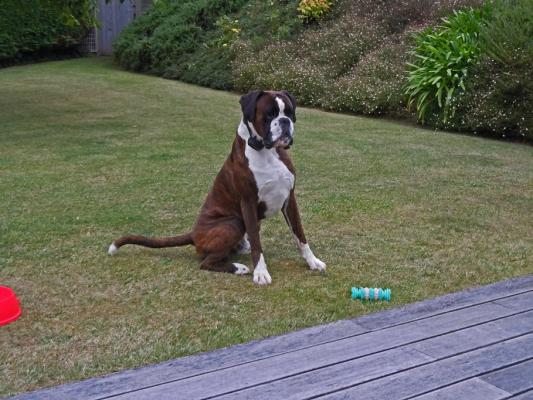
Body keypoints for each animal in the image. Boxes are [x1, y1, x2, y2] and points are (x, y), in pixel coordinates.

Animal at [108, 90, 324, 284]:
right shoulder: (248, 202)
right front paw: (260, 272)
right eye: (270, 114)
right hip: (233, 223)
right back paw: (238, 267)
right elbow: (257, 245)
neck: (268, 152)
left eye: (289, 112)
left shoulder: (289, 199)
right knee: (206, 262)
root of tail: (194, 234)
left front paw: (312, 261)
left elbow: (300, 235)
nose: (285, 121)